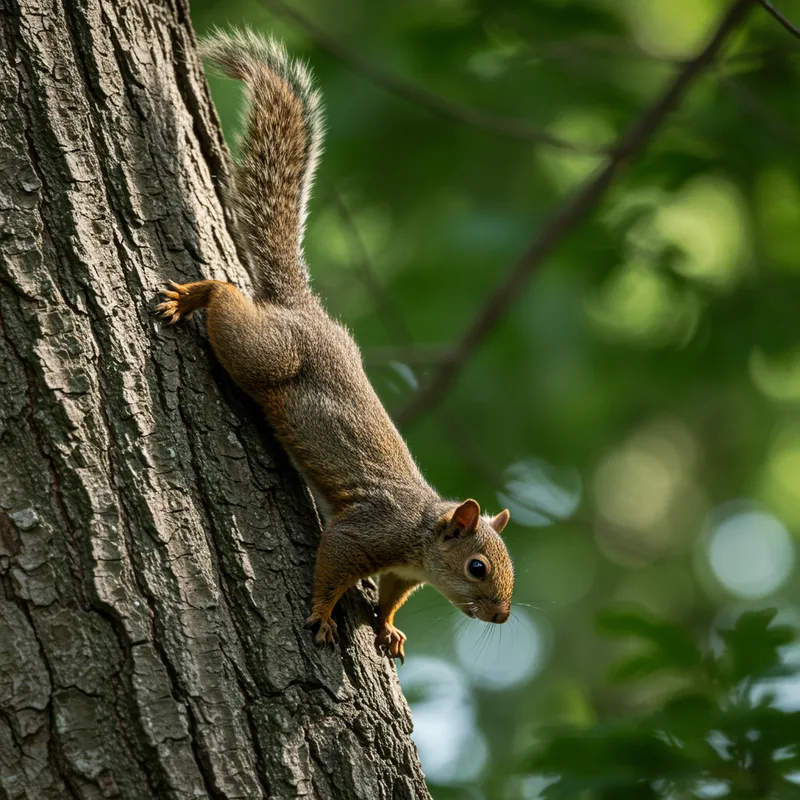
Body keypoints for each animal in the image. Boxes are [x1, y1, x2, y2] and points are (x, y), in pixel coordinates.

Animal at [156, 29, 514, 663]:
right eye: (477, 567)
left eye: (509, 572)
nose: (500, 615)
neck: (421, 539)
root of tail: (305, 311)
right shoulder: (367, 533)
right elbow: (332, 568)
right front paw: (324, 614)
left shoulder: (401, 571)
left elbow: (392, 597)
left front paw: (388, 627)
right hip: (265, 356)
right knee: (229, 302)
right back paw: (198, 294)